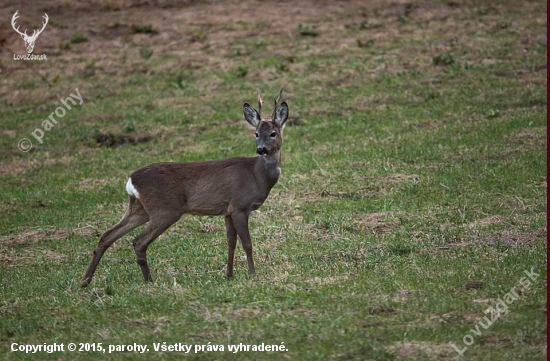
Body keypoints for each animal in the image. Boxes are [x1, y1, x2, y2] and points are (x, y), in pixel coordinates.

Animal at [82, 88, 292, 286]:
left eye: (273, 133)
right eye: (256, 134)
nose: (261, 149)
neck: (256, 175)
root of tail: (131, 180)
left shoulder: (228, 210)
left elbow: (231, 243)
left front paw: (229, 275)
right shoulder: (240, 205)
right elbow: (247, 243)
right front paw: (252, 274)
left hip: (140, 208)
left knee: (107, 236)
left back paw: (85, 280)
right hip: (165, 209)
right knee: (138, 241)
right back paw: (149, 280)